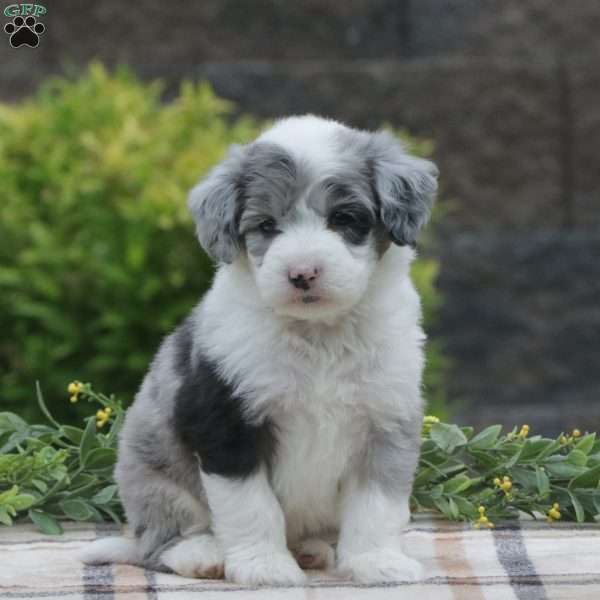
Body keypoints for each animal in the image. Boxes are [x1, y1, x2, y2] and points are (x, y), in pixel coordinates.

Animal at [82, 115, 438, 584]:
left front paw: (376, 561)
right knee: (161, 539)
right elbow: (251, 505)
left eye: (344, 218)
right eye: (267, 225)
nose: (302, 273)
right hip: (151, 471)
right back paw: (202, 555)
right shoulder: (226, 420)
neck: (319, 335)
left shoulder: (387, 417)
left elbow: (376, 504)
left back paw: (312, 551)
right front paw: (264, 567)